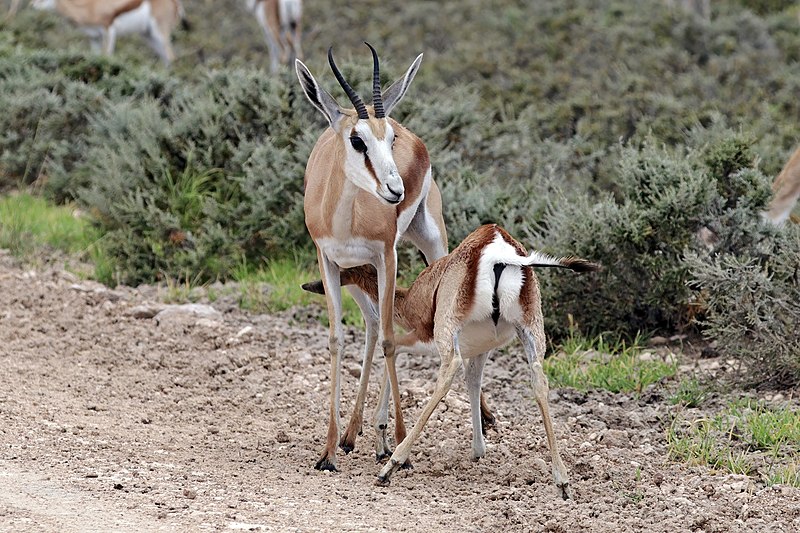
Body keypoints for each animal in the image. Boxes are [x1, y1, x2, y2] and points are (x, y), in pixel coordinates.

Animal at [31, 0, 186, 66]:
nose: (32, 5)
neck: (89, 7)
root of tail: (175, 3)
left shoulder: (108, 31)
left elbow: (106, 56)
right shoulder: (94, 37)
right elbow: (96, 57)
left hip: (159, 33)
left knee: (171, 57)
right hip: (148, 36)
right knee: (166, 58)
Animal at [296, 44, 454, 470]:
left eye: (390, 137)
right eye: (357, 140)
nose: (396, 189)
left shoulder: (387, 256)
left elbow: (389, 340)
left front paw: (399, 443)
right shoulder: (329, 262)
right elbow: (338, 339)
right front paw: (328, 451)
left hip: (430, 243)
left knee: (391, 328)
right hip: (355, 272)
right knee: (369, 323)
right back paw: (354, 434)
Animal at [306, 223, 600, 498]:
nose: (312, 285)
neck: (412, 297)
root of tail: (499, 250)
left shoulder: (423, 337)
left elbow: (391, 348)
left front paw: (380, 444)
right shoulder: (482, 348)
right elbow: (473, 382)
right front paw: (479, 448)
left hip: (447, 337)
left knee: (448, 373)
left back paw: (390, 468)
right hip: (531, 333)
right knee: (538, 380)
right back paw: (562, 481)